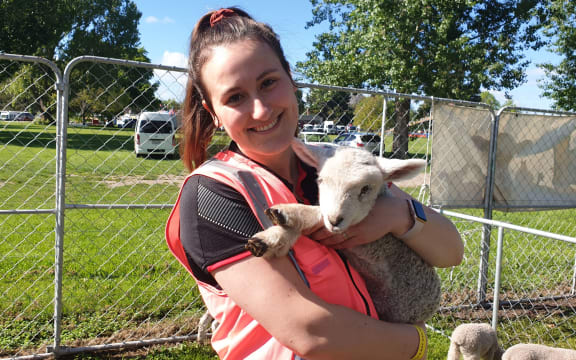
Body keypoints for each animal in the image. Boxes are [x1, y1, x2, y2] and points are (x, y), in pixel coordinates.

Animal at [244, 139, 440, 324]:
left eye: (366, 188)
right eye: (321, 181)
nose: (335, 220)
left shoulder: (374, 243)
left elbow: (317, 214)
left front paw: (288, 213)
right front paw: (270, 239)